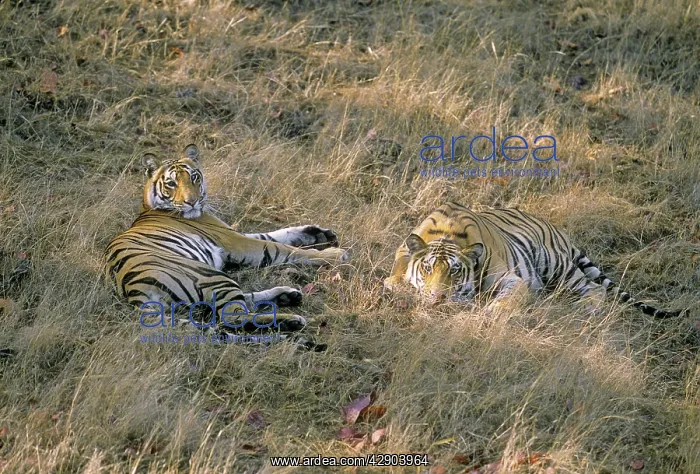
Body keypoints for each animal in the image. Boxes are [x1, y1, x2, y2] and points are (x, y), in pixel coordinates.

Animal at [105, 144, 349, 332]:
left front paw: (319, 232)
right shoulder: (234, 240)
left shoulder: (232, 233)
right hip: (209, 274)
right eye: (172, 183)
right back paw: (291, 320)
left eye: (194, 177)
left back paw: (287, 296)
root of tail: (135, 294)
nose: (192, 202)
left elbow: (279, 234)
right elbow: (281, 248)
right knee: (232, 317)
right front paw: (336, 254)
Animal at [384, 201, 681, 318]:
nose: (437, 298)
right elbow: (395, 278)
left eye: (455, 271)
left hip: (557, 267)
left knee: (595, 288)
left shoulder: (511, 278)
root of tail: (560, 231)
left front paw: (492, 311)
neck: (448, 234)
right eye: (427, 268)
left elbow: (509, 297)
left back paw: (587, 308)